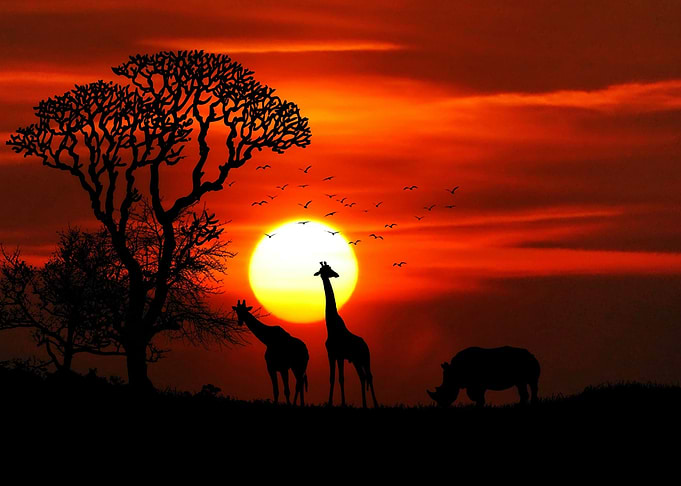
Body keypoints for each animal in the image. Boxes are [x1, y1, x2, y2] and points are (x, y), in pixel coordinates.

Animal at [314, 261, 378, 408]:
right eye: (326, 270)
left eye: (330, 268)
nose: (336, 274)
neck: (331, 327)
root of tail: (366, 345)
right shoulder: (332, 355)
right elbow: (332, 378)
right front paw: (330, 402)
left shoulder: (340, 356)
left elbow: (341, 378)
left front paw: (343, 403)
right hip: (356, 360)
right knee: (362, 377)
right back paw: (364, 404)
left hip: (365, 358)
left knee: (369, 376)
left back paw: (375, 404)